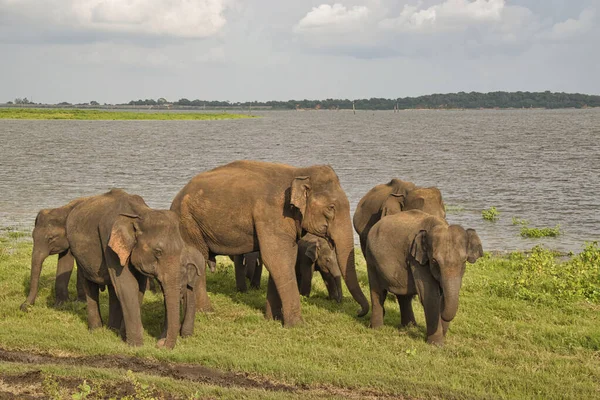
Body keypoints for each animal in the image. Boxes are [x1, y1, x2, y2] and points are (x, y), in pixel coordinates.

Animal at [65, 189, 202, 348]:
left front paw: (124, 337)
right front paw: (136, 345)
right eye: (158, 252)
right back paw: (96, 330)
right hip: (78, 253)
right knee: (89, 283)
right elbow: (127, 285)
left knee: (113, 288)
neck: (139, 214)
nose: (160, 344)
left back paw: (112, 329)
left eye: (181, 251)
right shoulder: (109, 241)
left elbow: (138, 287)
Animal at [169, 159, 372, 324]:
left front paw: (272, 319)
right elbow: (277, 258)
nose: (358, 311)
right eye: (331, 208)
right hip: (188, 222)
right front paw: (297, 325)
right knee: (198, 260)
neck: (299, 172)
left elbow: (284, 258)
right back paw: (207, 312)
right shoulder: (272, 214)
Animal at [366, 209, 482, 344]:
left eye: (464, 261)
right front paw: (437, 344)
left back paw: (409, 326)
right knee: (377, 291)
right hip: (371, 259)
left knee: (404, 294)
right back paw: (377, 328)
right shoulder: (417, 260)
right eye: (434, 261)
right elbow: (430, 296)